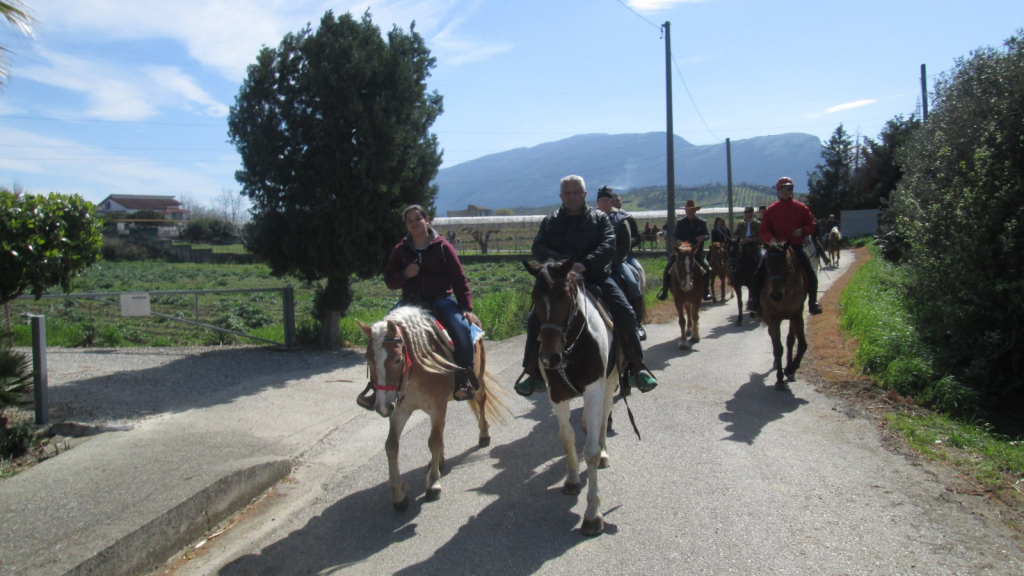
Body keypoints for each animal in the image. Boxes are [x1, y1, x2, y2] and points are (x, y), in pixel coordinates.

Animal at [357, 306, 507, 512]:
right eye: (368, 359)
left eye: (397, 359)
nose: (382, 407)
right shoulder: (400, 410)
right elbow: (391, 446)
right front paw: (398, 494)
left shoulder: (436, 406)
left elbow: (433, 442)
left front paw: (433, 484)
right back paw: (440, 460)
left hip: (477, 379)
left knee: (481, 400)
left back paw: (484, 435)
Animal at [524, 258, 619, 537]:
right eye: (535, 297)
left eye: (565, 297)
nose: (548, 358)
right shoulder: (556, 394)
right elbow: (567, 438)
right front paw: (573, 479)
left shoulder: (594, 389)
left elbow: (591, 452)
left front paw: (593, 515)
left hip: (610, 382)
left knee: (603, 419)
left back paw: (605, 452)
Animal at [760, 242, 808, 390]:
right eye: (767, 264)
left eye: (786, 264)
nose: (775, 295)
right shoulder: (772, 318)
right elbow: (778, 348)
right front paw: (780, 379)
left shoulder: (797, 315)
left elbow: (801, 344)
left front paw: (791, 369)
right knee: (774, 339)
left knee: (790, 340)